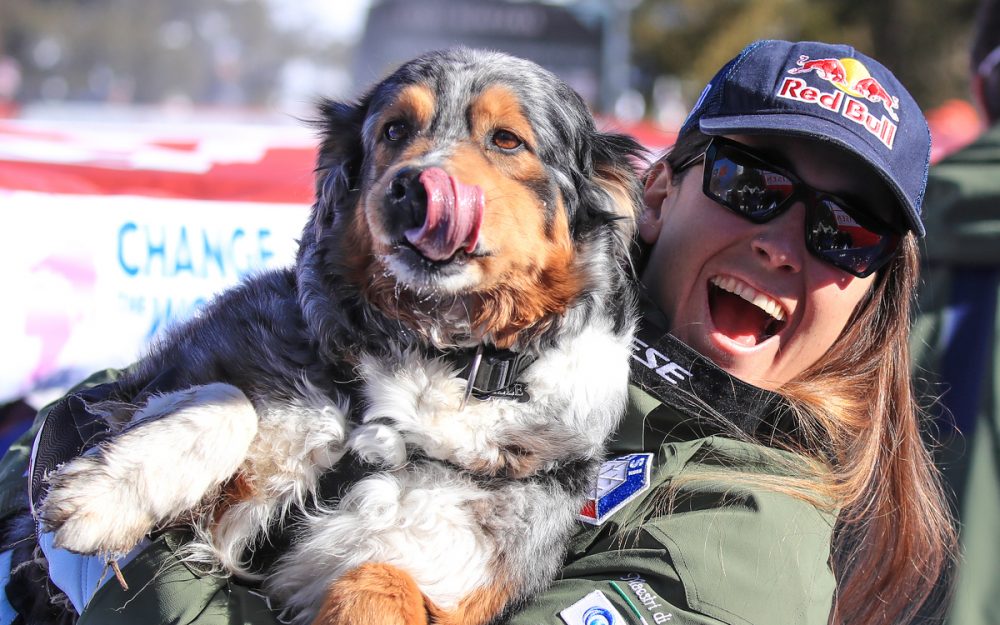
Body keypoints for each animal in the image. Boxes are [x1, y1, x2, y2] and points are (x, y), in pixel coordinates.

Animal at [35, 50, 644, 624]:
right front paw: (104, 497)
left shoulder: (448, 558)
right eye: (394, 130)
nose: (412, 187)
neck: (440, 352)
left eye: (508, 140)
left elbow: (383, 580)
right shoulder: (166, 375)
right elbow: (229, 404)